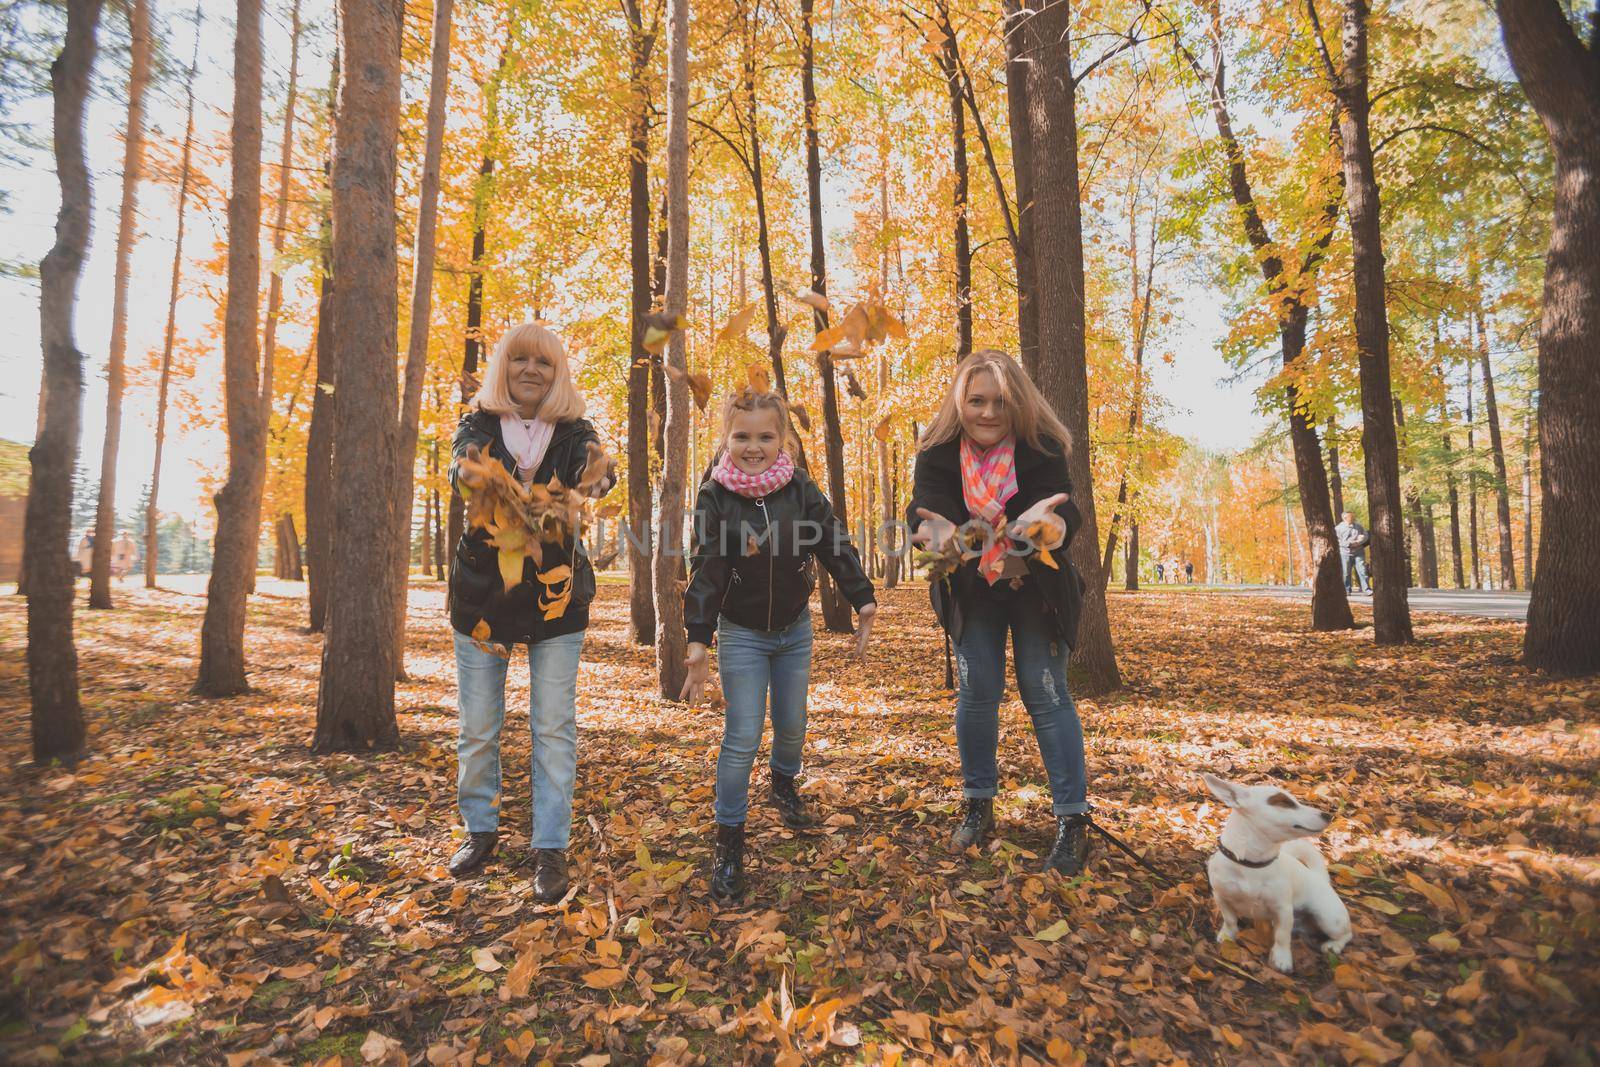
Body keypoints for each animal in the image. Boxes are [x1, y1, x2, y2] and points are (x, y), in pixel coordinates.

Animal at [1203, 771, 1350, 972]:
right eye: (1284, 802)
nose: (1328, 815)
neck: (1251, 865)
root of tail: (1319, 877)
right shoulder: (1221, 897)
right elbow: (1230, 919)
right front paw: (1227, 935)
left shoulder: (1283, 910)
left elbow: (1282, 936)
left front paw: (1282, 959)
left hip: (1330, 919)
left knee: (1347, 934)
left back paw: (1333, 946)